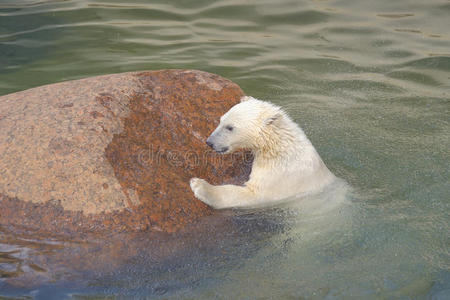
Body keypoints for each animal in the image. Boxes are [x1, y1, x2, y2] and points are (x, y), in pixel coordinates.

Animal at [189, 96, 334, 209]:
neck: (280, 147)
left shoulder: (281, 176)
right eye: (220, 120)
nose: (209, 142)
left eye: (230, 127)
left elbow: (253, 194)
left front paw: (199, 185)